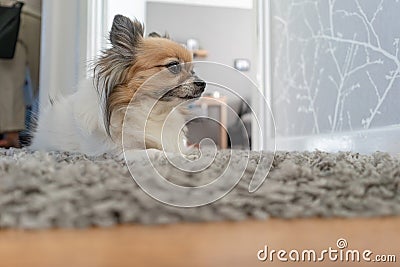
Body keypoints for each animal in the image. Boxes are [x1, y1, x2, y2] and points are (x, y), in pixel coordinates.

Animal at [30, 14, 206, 157]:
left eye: (193, 71)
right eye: (174, 66)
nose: (202, 84)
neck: (152, 111)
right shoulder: (119, 151)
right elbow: (153, 151)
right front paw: (176, 157)